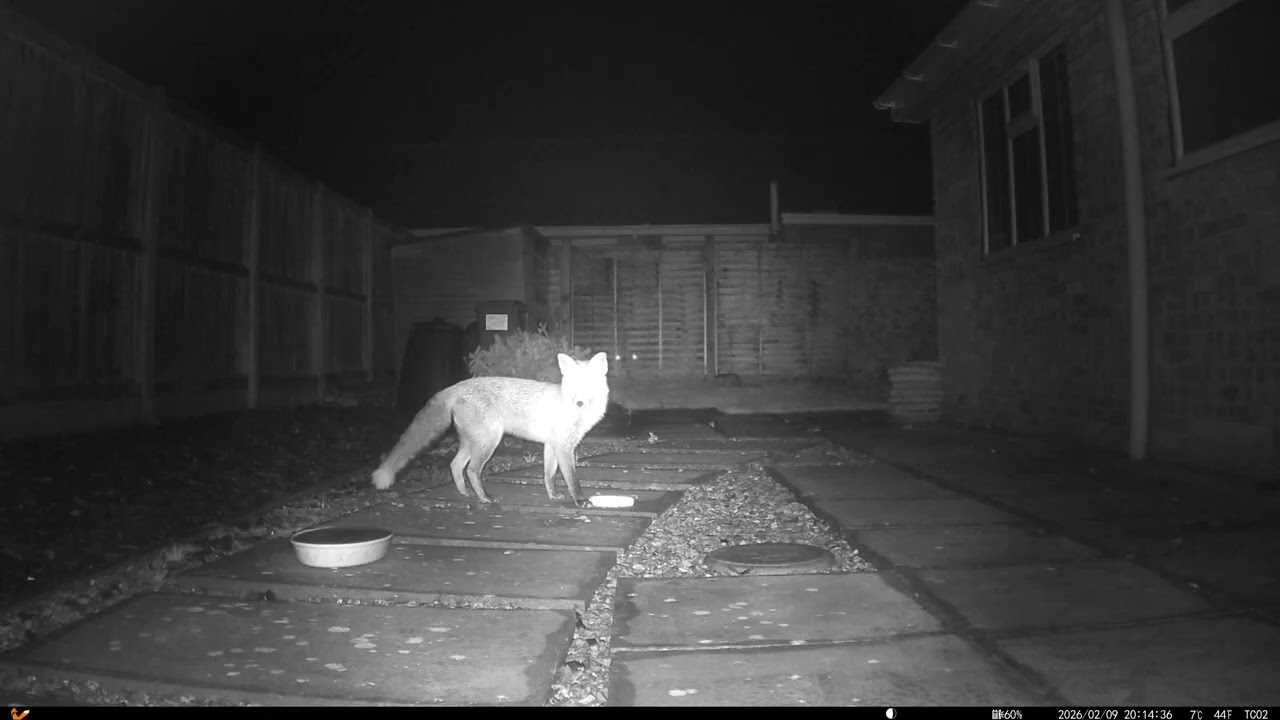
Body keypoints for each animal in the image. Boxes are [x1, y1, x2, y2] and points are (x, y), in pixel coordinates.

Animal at [371, 351, 610, 507]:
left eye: (589, 387)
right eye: (573, 387)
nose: (579, 403)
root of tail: (454, 386)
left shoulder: (552, 446)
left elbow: (549, 475)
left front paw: (552, 496)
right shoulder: (563, 447)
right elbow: (571, 478)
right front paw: (579, 500)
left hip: (473, 442)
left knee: (455, 465)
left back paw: (465, 494)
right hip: (489, 441)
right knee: (471, 469)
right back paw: (484, 498)